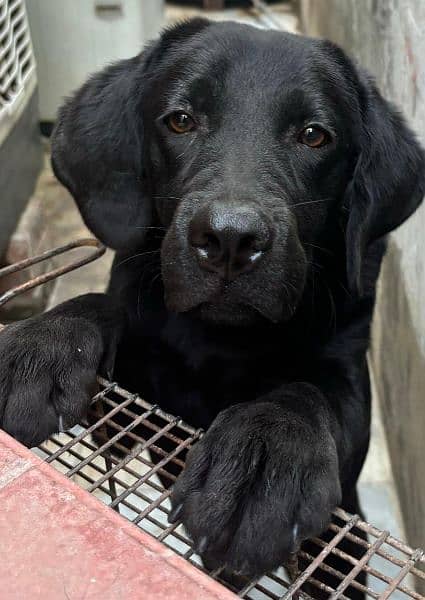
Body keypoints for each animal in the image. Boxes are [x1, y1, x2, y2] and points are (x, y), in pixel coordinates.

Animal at [0, 17, 424, 592]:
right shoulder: (128, 413)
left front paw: (264, 454)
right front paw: (41, 342)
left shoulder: (350, 386)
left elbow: (305, 390)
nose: (229, 240)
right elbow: (103, 305)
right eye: (180, 120)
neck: (222, 337)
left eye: (314, 135)